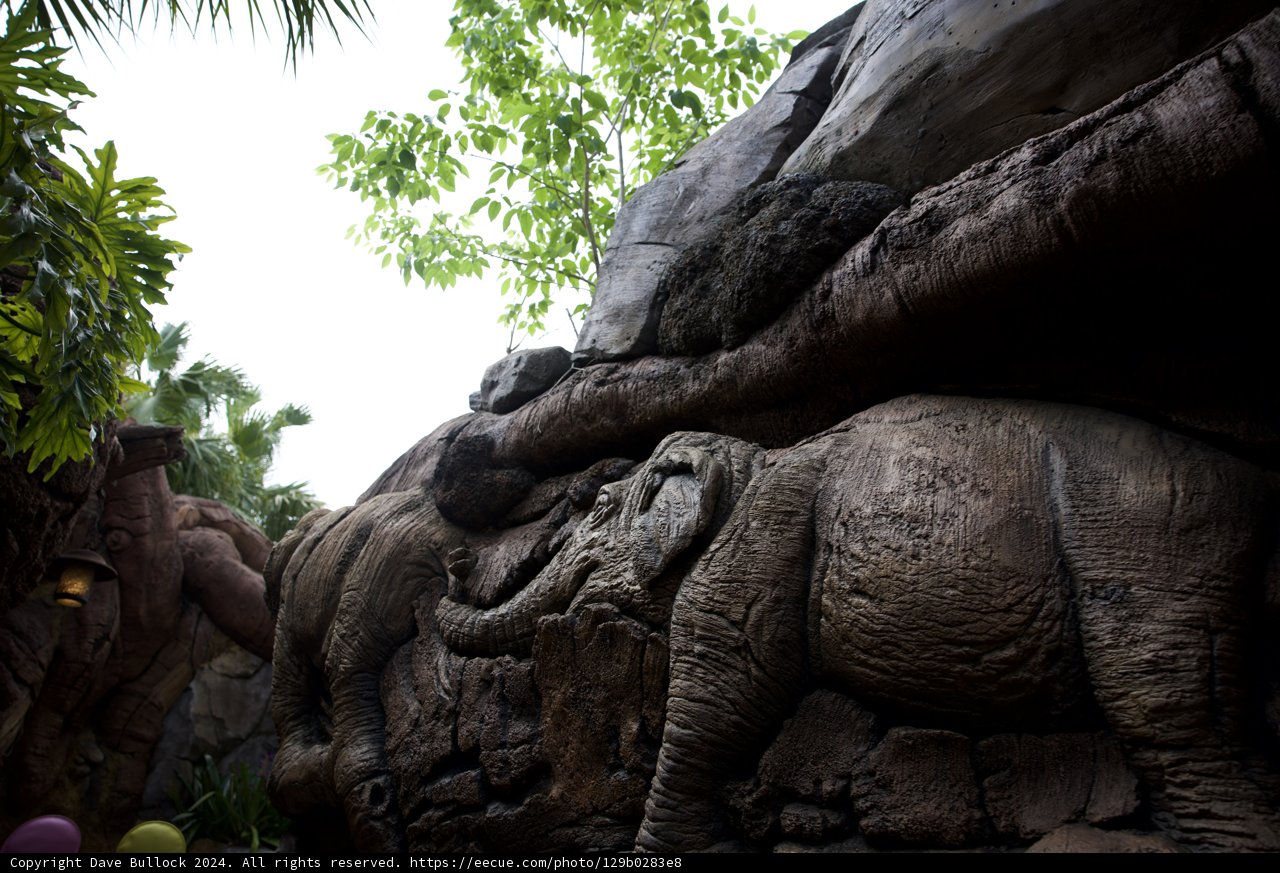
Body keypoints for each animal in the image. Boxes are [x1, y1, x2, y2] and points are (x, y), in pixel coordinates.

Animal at [629, 394, 1280, 852]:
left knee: (1166, 706)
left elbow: (722, 690)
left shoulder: (766, 526)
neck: (757, 459)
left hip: (1156, 546)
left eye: (608, 507)